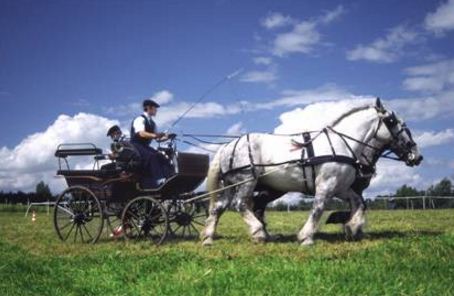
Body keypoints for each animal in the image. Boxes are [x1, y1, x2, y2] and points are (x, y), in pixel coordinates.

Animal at [201, 98, 422, 246]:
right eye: (393, 122)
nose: (417, 155)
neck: (342, 144)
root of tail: (228, 146)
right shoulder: (326, 185)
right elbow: (318, 208)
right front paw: (306, 236)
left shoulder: (341, 187)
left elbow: (359, 203)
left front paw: (353, 227)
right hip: (246, 180)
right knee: (240, 205)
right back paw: (258, 233)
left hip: (232, 185)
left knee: (219, 208)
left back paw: (208, 237)